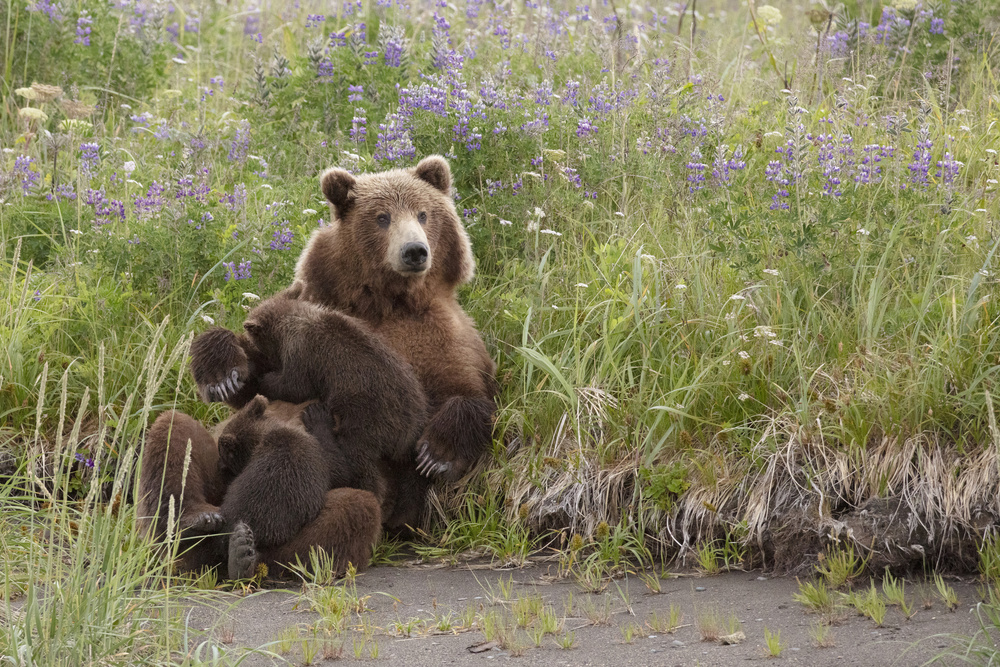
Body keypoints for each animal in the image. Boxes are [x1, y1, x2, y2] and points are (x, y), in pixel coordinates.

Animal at [296, 155, 500, 480]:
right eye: (382, 217)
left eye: (422, 214)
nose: (414, 251)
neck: (393, 301)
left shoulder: (443, 333)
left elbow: (469, 389)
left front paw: (436, 454)